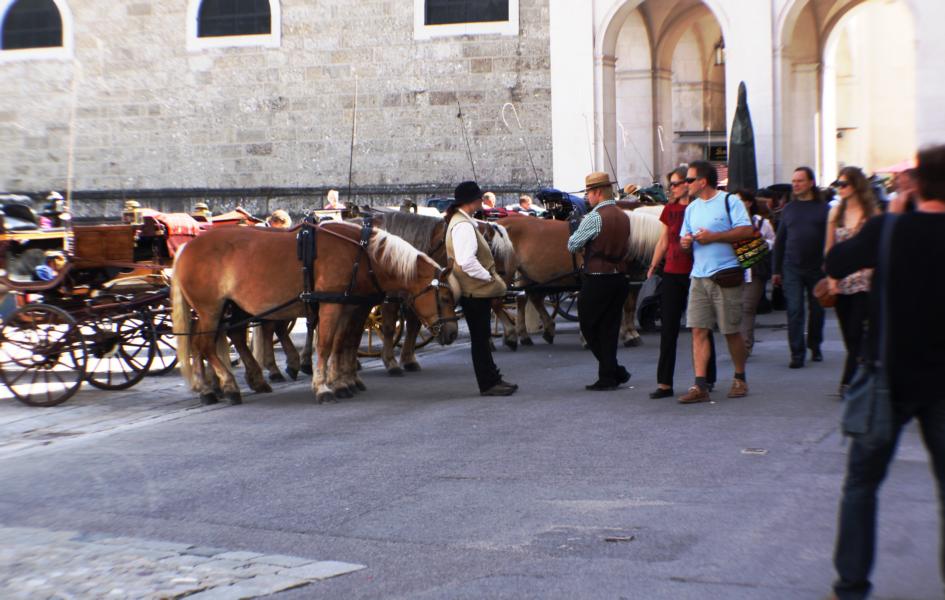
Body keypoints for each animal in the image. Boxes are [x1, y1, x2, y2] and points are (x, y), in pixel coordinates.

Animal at [176, 220, 460, 404]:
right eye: (445, 297)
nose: (452, 333)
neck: (361, 254)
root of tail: (187, 248)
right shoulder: (333, 305)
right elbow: (326, 344)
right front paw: (325, 386)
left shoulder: (351, 306)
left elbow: (343, 342)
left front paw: (344, 381)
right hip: (210, 308)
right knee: (204, 345)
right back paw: (226, 387)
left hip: (231, 307)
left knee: (222, 338)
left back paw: (227, 385)